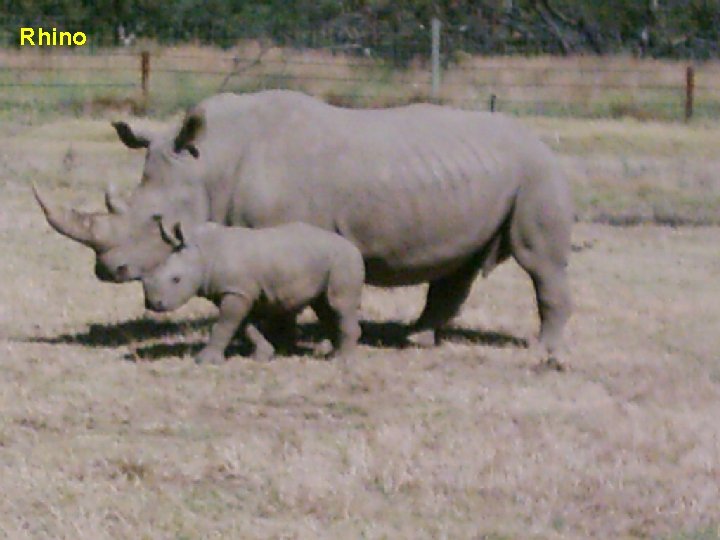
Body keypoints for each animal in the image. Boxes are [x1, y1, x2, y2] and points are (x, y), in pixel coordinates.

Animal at [142, 219, 364, 364]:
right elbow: (243, 325)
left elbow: (225, 325)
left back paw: (343, 362)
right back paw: (333, 356)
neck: (202, 253)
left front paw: (204, 361)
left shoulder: (236, 291)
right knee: (324, 306)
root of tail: (354, 247)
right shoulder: (237, 292)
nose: (153, 304)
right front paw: (263, 356)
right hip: (323, 261)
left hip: (344, 260)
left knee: (339, 306)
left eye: (176, 279)